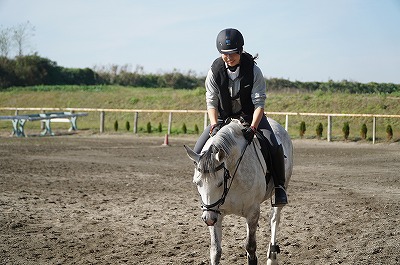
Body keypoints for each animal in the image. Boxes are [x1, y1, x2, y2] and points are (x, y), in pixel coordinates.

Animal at [184, 118, 294, 264]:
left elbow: (250, 246)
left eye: (220, 183)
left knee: (274, 219)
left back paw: (272, 258)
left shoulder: (253, 212)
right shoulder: (215, 212)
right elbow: (215, 250)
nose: (208, 219)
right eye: (197, 183)